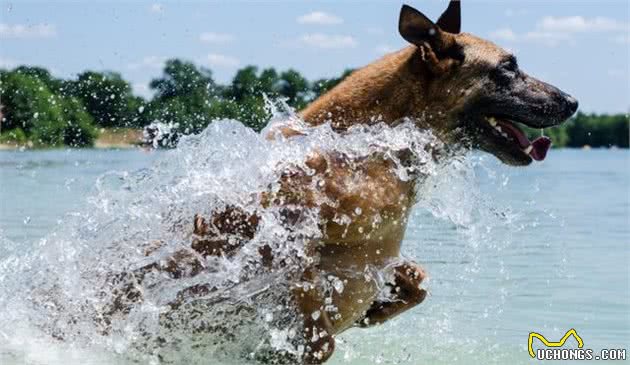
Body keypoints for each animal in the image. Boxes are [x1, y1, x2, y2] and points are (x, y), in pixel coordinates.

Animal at [102, 1, 576, 362]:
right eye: (508, 67)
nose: (573, 101)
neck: (375, 147)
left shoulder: (375, 254)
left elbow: (417, 282)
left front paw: (376, 310)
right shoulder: (281, 242)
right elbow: (316, 323)